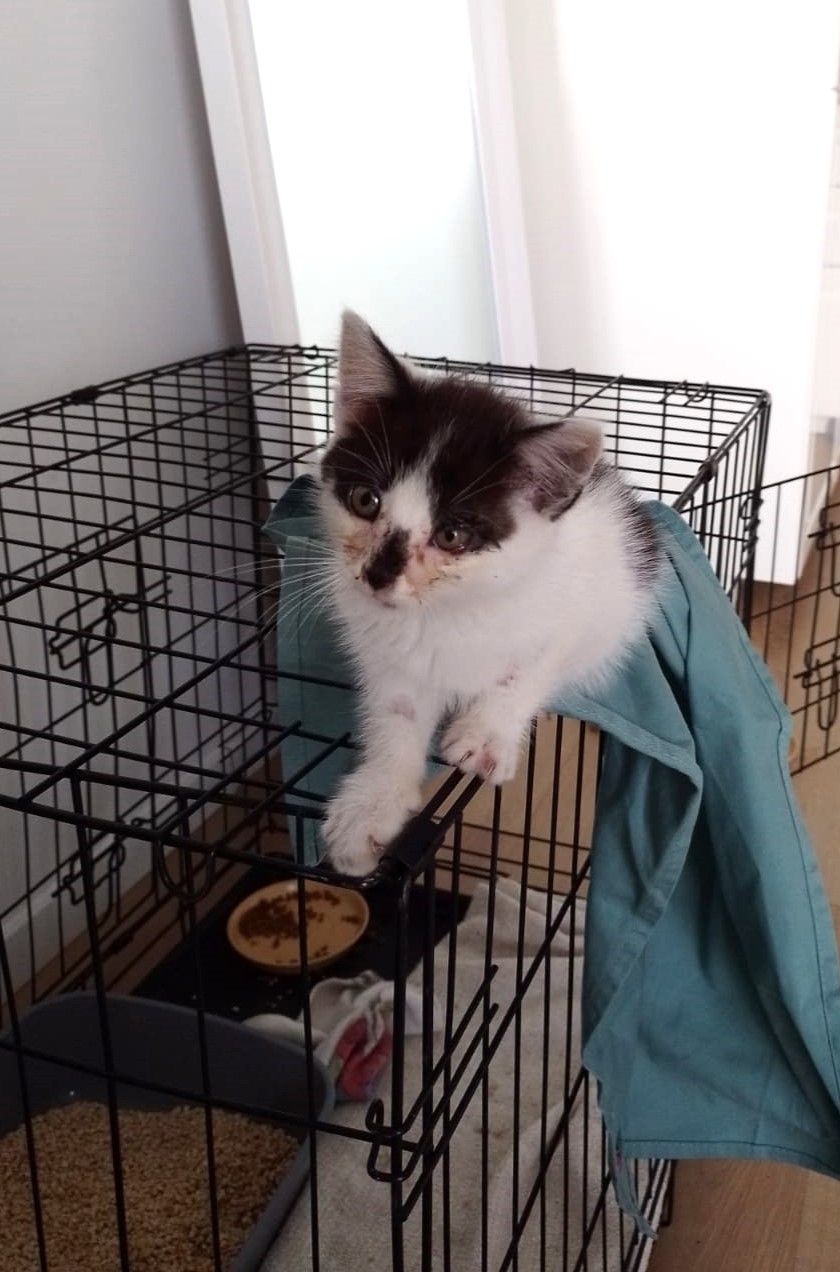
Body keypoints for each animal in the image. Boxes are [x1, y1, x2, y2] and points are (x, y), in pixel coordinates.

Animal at [317, 312, 661, 876]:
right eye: (366, 501)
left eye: (452, 535)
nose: (378, 576)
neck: (447, 610)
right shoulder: (383, 648)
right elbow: (396, 711)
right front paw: (374, 801)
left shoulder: (574, 607)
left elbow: (527, 668)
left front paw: (486, 733)